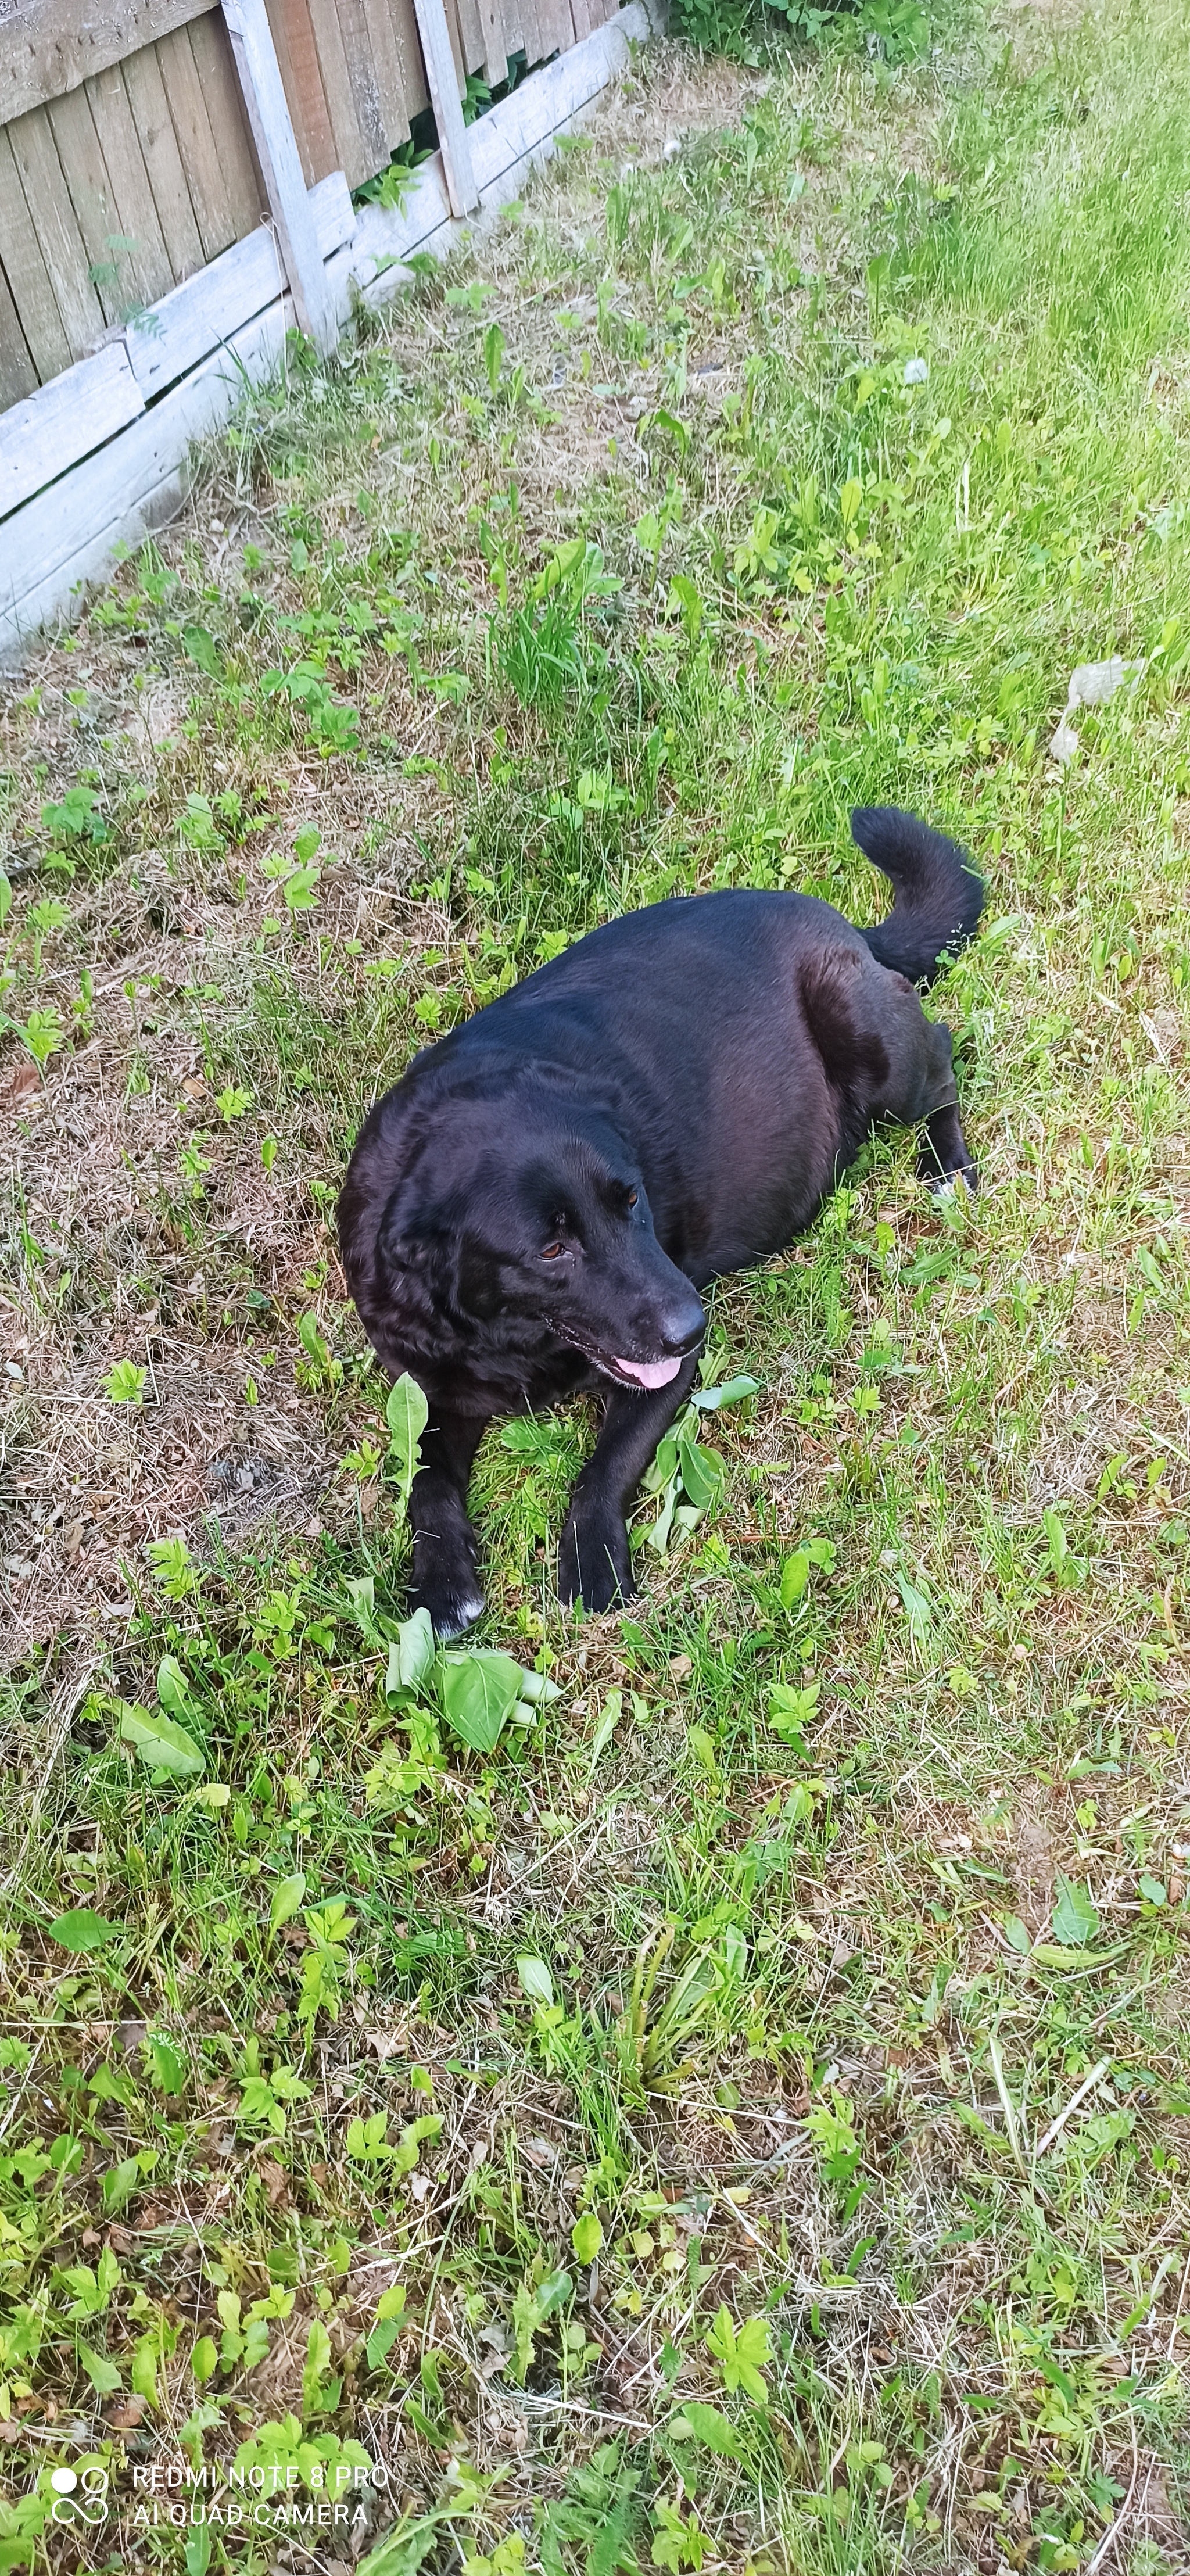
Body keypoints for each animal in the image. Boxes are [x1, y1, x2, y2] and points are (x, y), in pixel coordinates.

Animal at [340, 808, 978, 1628]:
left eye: (632, 1199)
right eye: (550, 1249)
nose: (691, 1325)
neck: (507, 1337)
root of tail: (842, 924)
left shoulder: (664, 1379)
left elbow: (603, 1465)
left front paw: (592, 1558)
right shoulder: (428, 1388)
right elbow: (423, 1478)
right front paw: (440, 1585)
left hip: (870, 1037)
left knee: (945, 1059)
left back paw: (948, 1167)